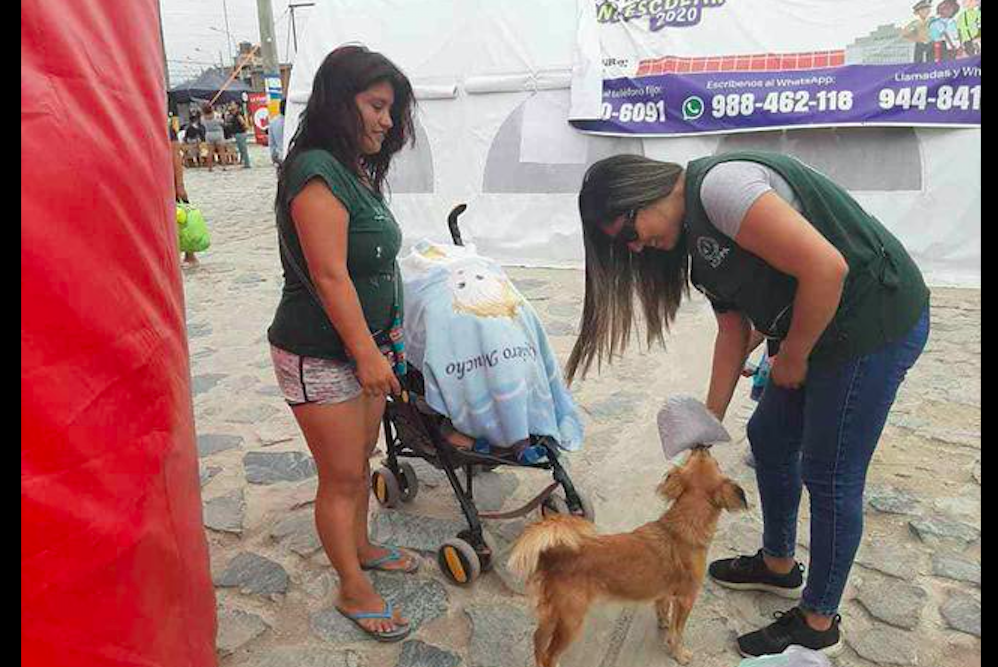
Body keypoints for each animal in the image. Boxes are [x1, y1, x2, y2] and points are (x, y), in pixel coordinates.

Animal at [512, 448, 748, 667]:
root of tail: (554, 554)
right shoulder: (686, 599)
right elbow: (677, 632)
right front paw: (679, 654)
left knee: (538, 641)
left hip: (552, 614)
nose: (701, 446)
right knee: (549, 654)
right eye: (715, 462)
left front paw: (663, 624)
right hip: (571, 619)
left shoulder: (665, 593)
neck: (681, 526)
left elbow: (663, 610)